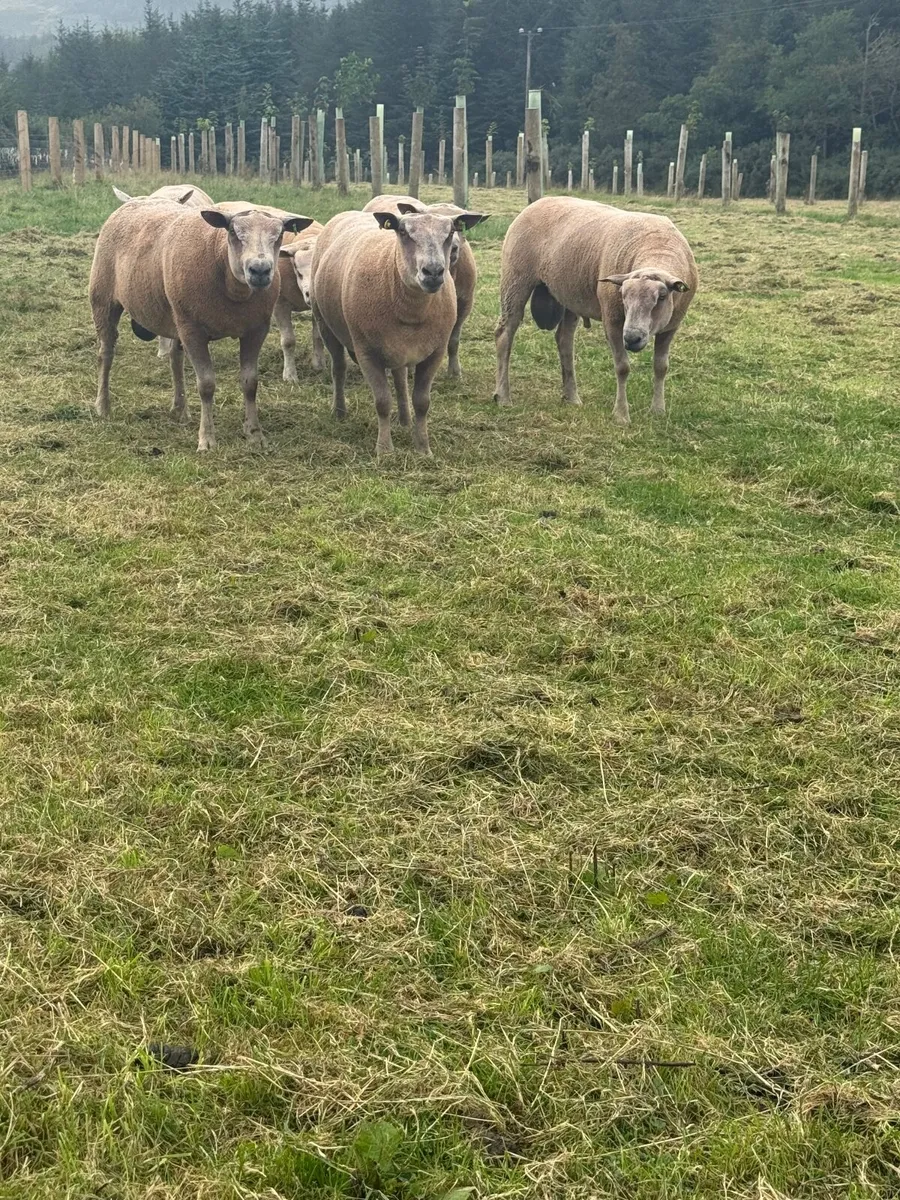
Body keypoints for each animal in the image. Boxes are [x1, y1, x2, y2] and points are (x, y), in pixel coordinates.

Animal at [90, 200, 313, 450]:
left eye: (280, 234)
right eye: (233, 232)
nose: (260, 270)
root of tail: (137, 200)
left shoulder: (255, 330)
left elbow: (250, 383)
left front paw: (255, 434)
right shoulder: (193, 331)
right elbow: (206, 385)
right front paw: (207, 440)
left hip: (175, 316)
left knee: (175, 360)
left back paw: (180, 410)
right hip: (103, 300)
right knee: (105, 354)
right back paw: (103, 406)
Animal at [494, 197, 698, 424]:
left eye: (662, 297)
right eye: (622, 295)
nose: (632, 338)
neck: (656, 247)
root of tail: (538, 202)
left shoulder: (671, 326)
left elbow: (661, 367)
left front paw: (658, 410)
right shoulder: (613, 320)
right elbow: (622, 367)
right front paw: (621, 415)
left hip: (569, 294)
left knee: (564, 341)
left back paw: (571, 396)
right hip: (515, 279)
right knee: (505, 334)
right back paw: (503, 396)